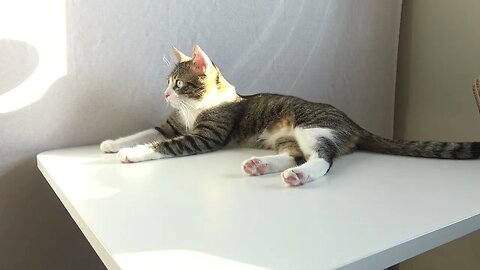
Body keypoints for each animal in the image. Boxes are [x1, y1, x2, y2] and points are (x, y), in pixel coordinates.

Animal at [99, 45, 478, 187]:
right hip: (289, 136)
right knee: (295, 154)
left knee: (323, 159)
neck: (197, 109)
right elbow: (145, 131)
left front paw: (131, 154)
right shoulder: (171, 124)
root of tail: (353, 121)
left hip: (311, 125)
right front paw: (112, 143)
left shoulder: (205, 135)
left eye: (178, 84)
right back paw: (260, 166)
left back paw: (298, 176)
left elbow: (164, 145)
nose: (165, 94)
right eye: (167, 82)